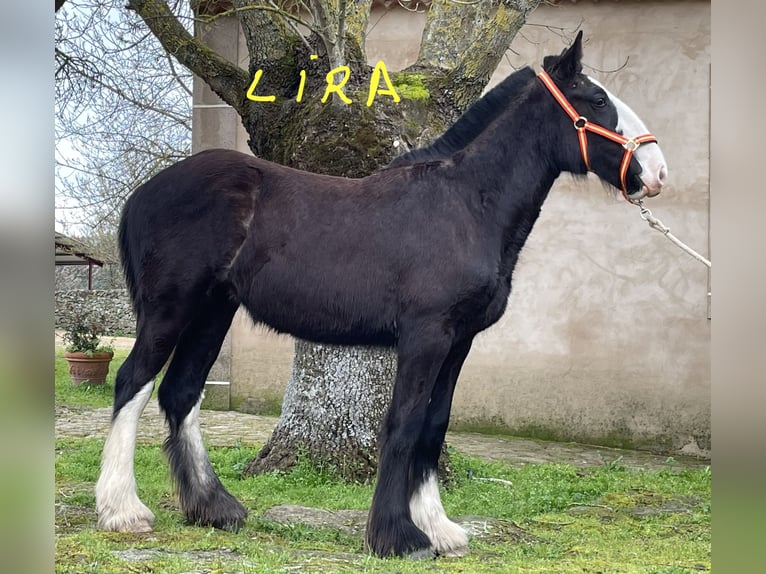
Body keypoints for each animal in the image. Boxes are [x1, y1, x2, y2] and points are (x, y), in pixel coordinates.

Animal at [95, 32, 667, 558]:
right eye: (596, 101)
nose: (657, 173)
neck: (465, 204)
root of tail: (142, 195)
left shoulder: (458, 342)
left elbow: (434, 425)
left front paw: (439, 529)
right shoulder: (425, 336)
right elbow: (404, 422)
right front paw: (399, 536)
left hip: (215, 310)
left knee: (181, 392)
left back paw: (214, 508)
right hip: (171, 310)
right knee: (133, 382)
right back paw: (124, 510)